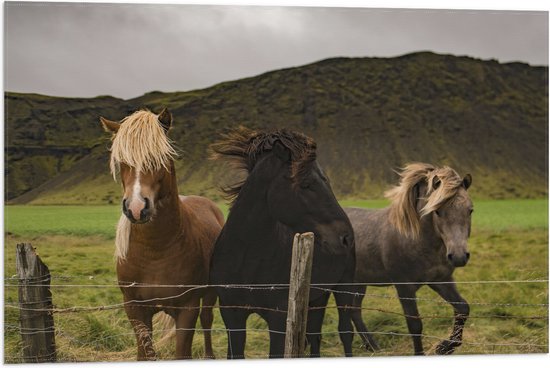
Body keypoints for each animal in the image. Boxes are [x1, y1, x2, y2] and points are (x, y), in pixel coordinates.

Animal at [101, 108, 224, 360]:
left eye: (159, 158)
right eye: (122, 162)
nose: (136, 208)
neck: (155, 251)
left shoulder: (188, 308)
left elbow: (183, 352)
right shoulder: (135, 309)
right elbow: (145, 353)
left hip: (209, 294)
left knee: (207, 319)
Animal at [210, 127, 358, 360]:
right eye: (306, 184)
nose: (346, 237)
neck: (246, 259)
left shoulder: (279, 319)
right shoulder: (232, 315)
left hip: (344, 288)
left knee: (345, 333)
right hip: (317, 297)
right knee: (315, 336)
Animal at [350, 162, 474, 356]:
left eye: (470, 210)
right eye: (437, 211)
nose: (459, 256)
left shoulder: (441, 280)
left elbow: (462, 308)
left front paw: (444, 347)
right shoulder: (405, 287)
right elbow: (415, 324)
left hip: (358, 283)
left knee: (354, 311)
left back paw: (374, 347)